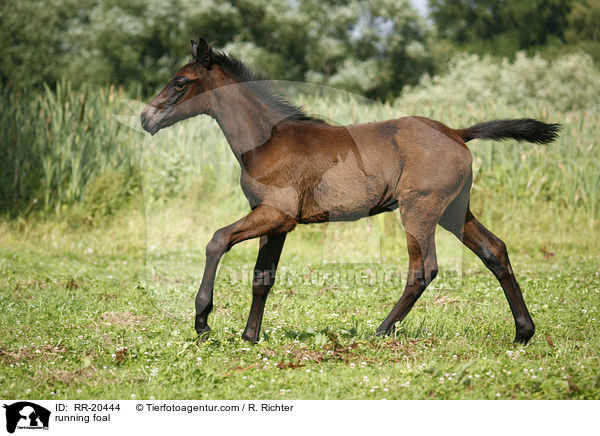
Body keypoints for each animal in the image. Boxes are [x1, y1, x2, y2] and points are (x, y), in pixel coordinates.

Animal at [141, 38, 556, 344]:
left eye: (180, 82)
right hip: (454, 211)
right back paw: (523, 333)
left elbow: (217, 240)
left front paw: (203, 320)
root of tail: (456, 132)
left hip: (419, 209)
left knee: (423, 269)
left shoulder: (275, 214)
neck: (267, 141)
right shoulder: (275, 221)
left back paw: (381, 331)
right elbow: (262, 277)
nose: (146, 118)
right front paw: (249, 337)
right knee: (494, 250)